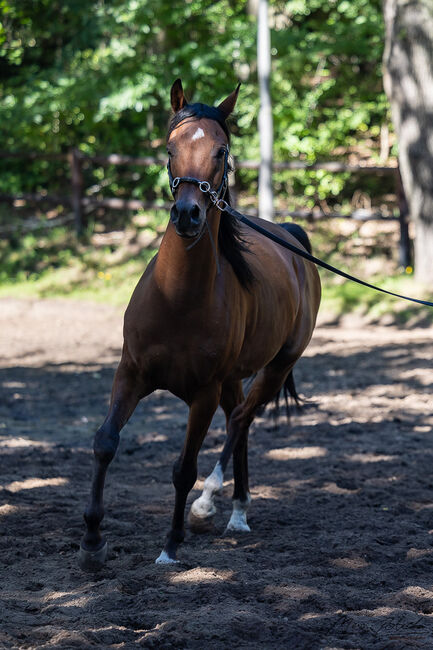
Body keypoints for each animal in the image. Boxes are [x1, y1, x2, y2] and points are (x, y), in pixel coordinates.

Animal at [79, 79, 318, 568]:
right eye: (170, 149)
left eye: (221, 151)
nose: (188, 214)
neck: (178, 300)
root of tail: (291, 237)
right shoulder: (130, 372)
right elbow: (105, 442)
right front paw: (92, 541)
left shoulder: (201, 395)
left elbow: (183, 469)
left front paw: (171, 544)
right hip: (233, 380)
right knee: (238, 421)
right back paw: (237, 512)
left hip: (275, 367)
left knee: (242, 421)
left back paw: (213, 504)